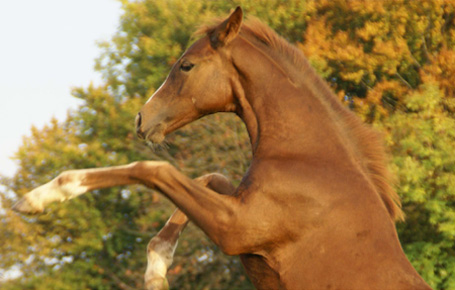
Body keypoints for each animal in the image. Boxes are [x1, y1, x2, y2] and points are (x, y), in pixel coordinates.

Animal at [13, 6, 432, 290]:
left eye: (186, 65)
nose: (142, 120)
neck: (310, 160)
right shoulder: (238, 207)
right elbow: (210, 175)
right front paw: (159, 267)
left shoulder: (236, 228)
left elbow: (154, 170)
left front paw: (39, 197)